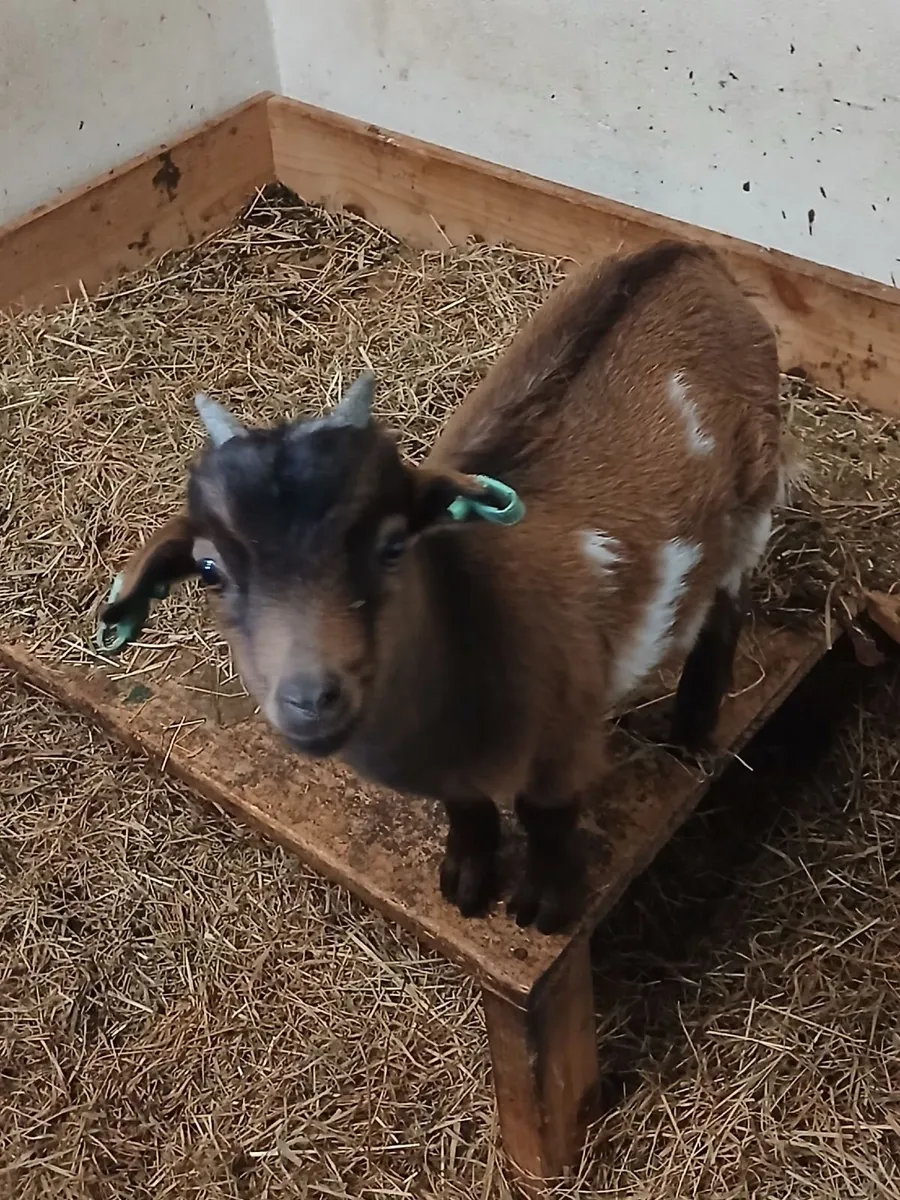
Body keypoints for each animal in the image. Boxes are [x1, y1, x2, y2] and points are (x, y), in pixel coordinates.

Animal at [99, 238, 787, 935]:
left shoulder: (565, 737)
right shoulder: (452, 776)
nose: (310, 698)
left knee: (724, 606)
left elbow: (548, 817)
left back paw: (692, 726)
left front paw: (546, 904)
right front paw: (466, 881)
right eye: (210, 571)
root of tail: (688, 252)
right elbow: (469, 810)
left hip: (754, 492)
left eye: (394, 545)